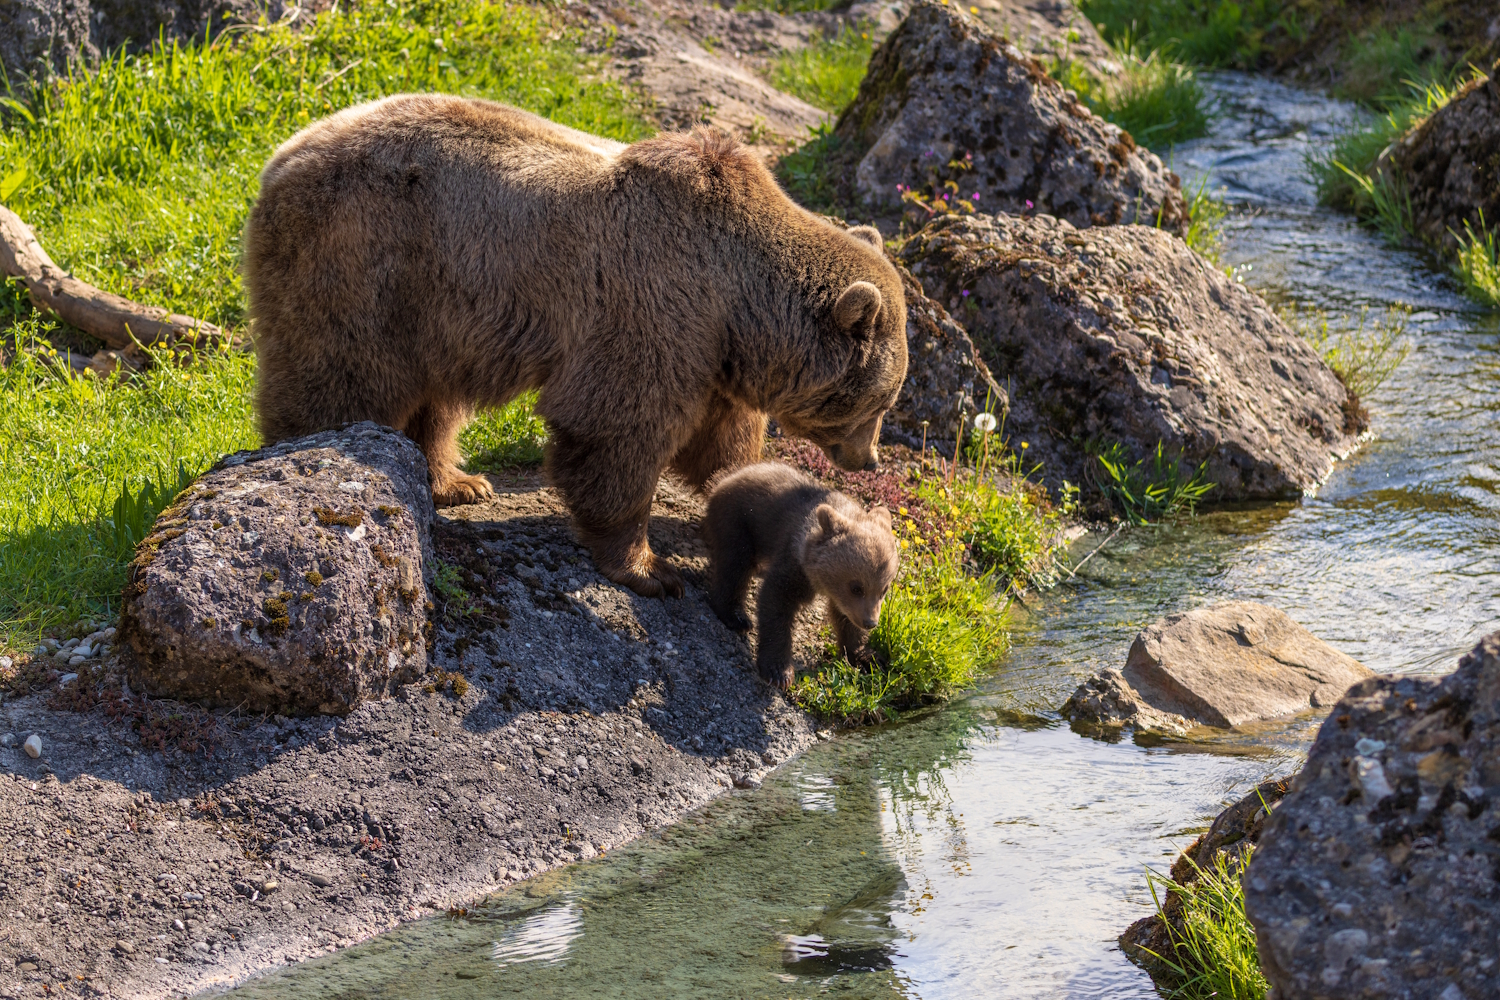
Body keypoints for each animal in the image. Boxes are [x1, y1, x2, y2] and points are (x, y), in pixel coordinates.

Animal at [243, 94, 908, 600]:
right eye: (881, 401)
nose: (870, 460)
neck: (738, 293)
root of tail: (281, 156)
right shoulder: (654, 301)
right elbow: (618, 429)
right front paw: (650, 568)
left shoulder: (711, 348)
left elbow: (719, 441)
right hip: (363, 260)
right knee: (339, 376)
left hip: (439, 309)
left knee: (434, 396)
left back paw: (456, 481)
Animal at [702, 462, 899, 688]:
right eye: (856, 587)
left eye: (884, 589)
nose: (870, 622)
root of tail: (728, 476)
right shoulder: (794, 563)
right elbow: (777, 602)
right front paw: (779, 671)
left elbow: (845, 619)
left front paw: (866, 657)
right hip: (739, 519)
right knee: (734, 563)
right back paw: (736, 616)